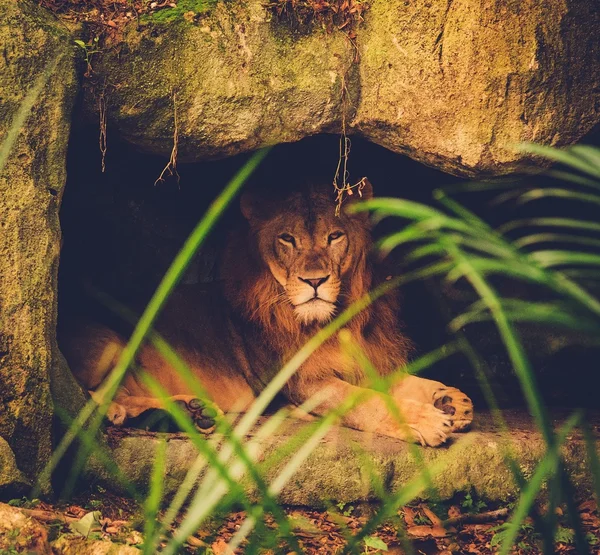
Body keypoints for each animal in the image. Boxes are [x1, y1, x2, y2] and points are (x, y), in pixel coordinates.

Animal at [61, 180, 474, 450]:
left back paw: (193, 413)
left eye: (335, 236)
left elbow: (400, 381)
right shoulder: (301, 382)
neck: (337, 322)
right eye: (287, 239)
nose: (314, 281)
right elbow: (364, 400)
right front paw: (427, 419)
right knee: (96, 397)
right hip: (111, 345)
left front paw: (449, 400)